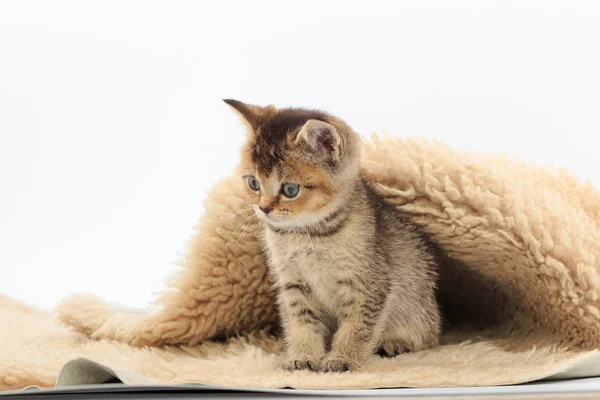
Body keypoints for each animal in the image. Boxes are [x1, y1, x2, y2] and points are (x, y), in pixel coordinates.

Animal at [225, 99, 440, 372]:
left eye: (290, 189)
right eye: (253, 183)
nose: (263, 208)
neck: (306, 234)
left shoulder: (369, 284)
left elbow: (356, 327)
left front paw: (342, 358)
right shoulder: (293, 284)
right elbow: (301, 323)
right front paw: (303, 356)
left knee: (428, 334)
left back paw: (396, 343)